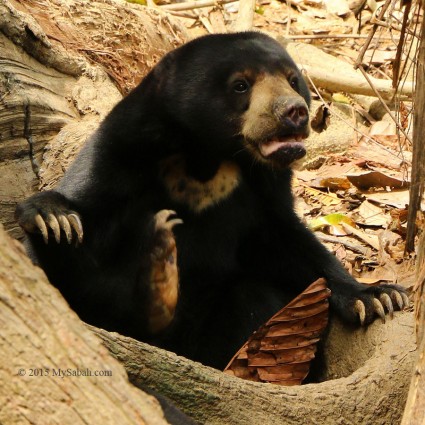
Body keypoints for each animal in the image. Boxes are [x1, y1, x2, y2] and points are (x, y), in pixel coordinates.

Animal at [15, 31, 408, 370]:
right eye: (240, 84)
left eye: (292, 80)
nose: (294, 112)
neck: (207, 155)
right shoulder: (121, 151)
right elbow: (83, 241)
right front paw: (53, 219)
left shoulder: (264, 188)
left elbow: (291, 244)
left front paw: (377, 297)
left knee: (251, 295)